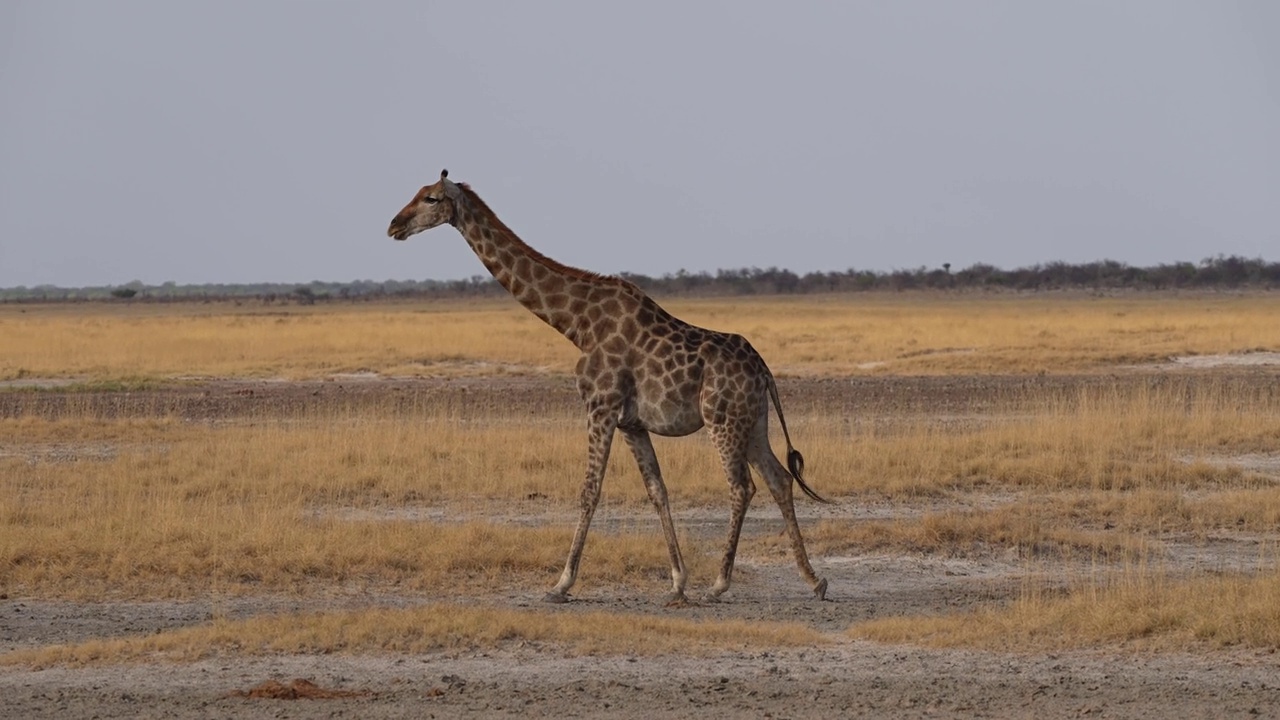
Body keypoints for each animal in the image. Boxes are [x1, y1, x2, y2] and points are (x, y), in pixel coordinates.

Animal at [389, 170, 829, 602]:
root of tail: (764, 369)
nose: (394, 226)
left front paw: (561, 583)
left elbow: (590, 490)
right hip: (753, 421)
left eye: (430, 198)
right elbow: (657, 490)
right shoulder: (631, 422)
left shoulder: (600, 405)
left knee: (742, 487)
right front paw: (677, 582)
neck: (577, 324)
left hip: (722, 419)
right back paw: (813, 579)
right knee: (779, 479)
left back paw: (720, 584)